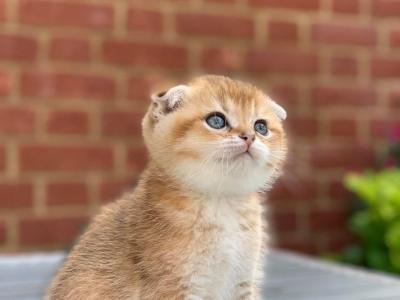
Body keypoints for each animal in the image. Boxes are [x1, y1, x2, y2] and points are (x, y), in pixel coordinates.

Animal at [47, 75, 288, 300]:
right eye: (216, 121)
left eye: (261, 126)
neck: (221, 201)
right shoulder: (174, 287)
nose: (250, 136)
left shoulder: (242, 283)